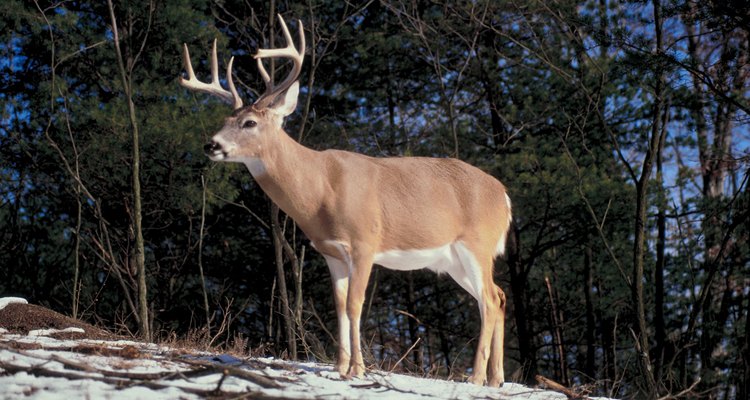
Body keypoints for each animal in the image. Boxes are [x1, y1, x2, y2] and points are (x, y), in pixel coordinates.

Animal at [179, 15, 516, 388]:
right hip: (453, 259)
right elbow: (339, 305)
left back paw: (476, 378)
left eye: (249, 122)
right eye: (224, 120)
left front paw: (358, 369)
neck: (320, 191)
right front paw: (340, 367)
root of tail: (504, 196)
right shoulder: (331, 251)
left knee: (489, 300)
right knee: (499, 296)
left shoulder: (365, 242)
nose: (211, 145)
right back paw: (497, 378)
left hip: (476, 244)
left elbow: (355, 305)